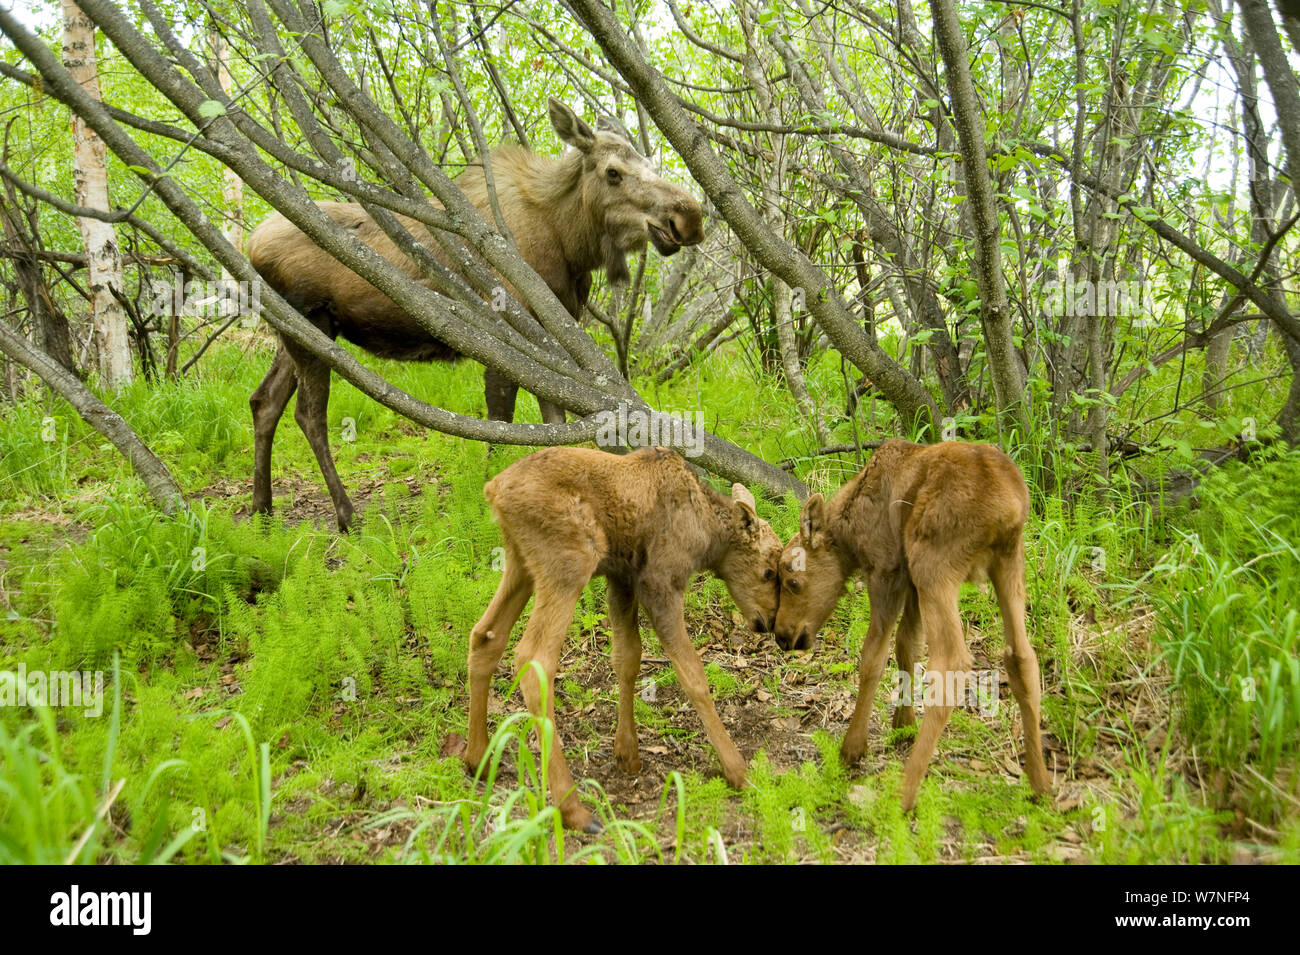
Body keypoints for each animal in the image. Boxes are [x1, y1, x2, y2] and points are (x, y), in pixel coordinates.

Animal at [246, 101, 707, 535]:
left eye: (651, 164)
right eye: (613, 172)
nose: (688, 216)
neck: (568, 238)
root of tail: (247, 244)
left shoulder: (549, 333)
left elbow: (554, 421)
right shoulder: (505, 330)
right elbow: (501, 422)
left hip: (295, 330)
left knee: (264, 402)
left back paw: (262, 511)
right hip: (311, 327)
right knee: (309, 415)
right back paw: (345, 515)